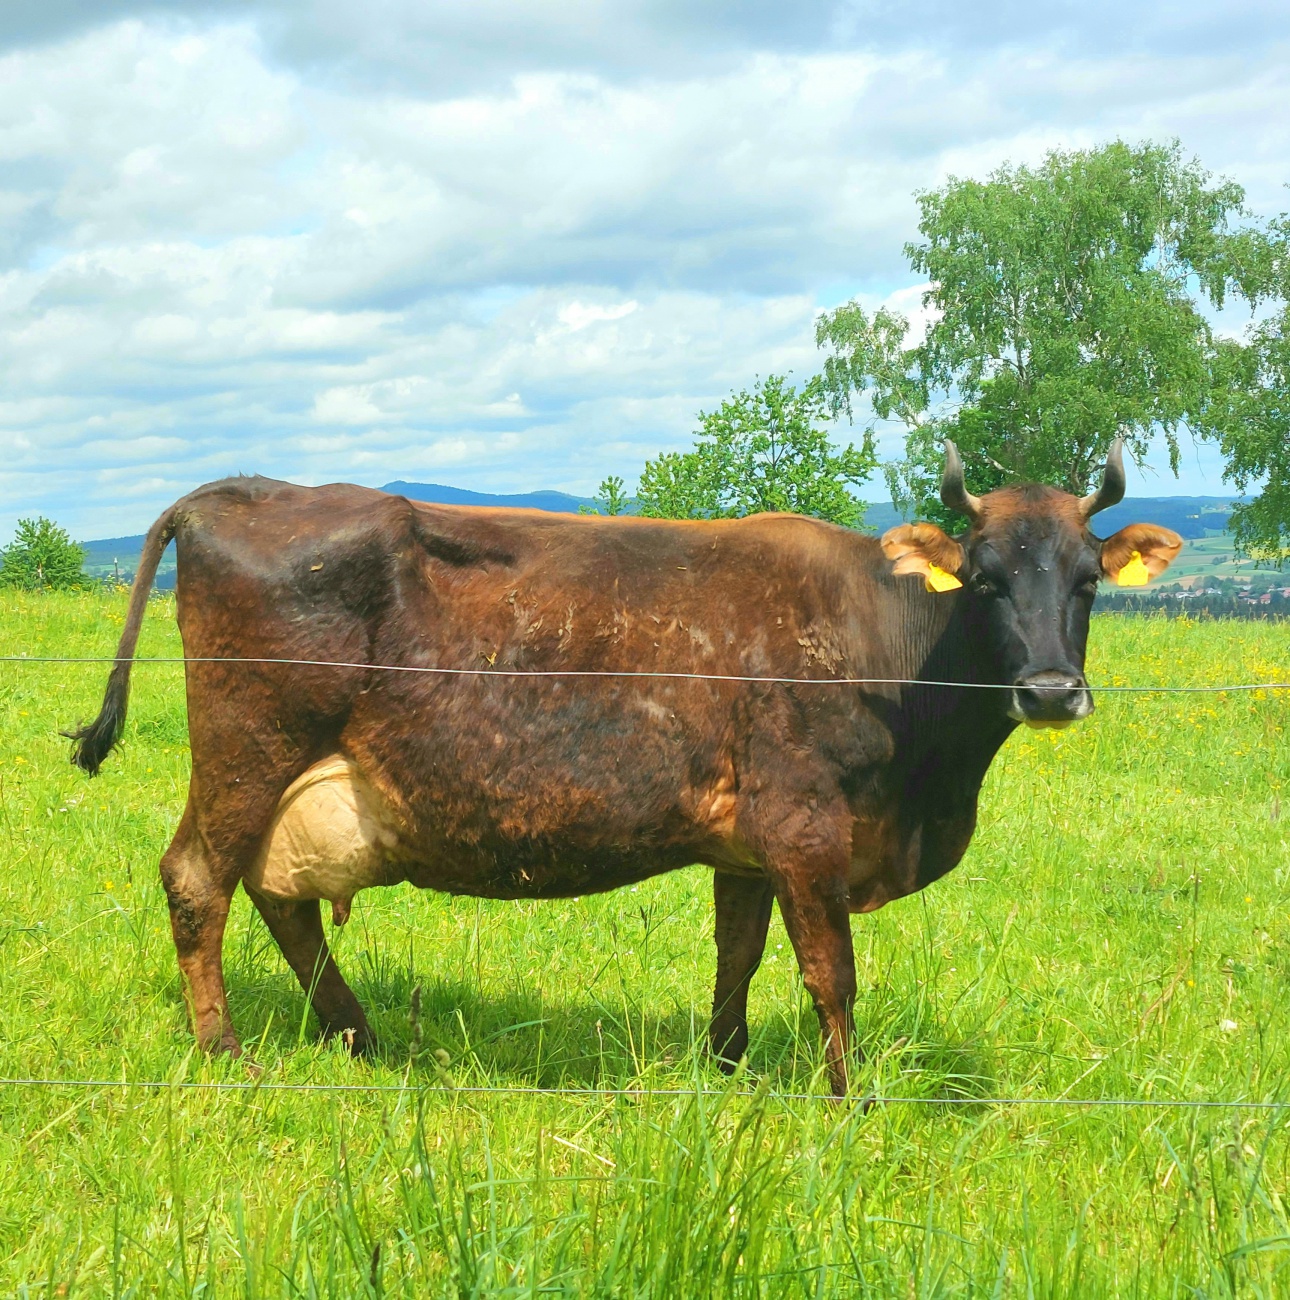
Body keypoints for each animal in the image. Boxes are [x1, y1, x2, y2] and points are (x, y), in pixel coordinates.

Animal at [67, 441, 1180, 1092]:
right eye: (986, 579)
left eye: (1088, 580)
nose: (1052, 691)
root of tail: (237, 490)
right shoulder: (807, 826)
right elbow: (831, 975)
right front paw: (847, 1099)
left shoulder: (747, 846)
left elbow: (738, 955)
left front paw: (727, 1071)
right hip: (248, 747)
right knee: (200, 881)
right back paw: (226, 1054)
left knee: (277, 896)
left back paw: (360, 1036)